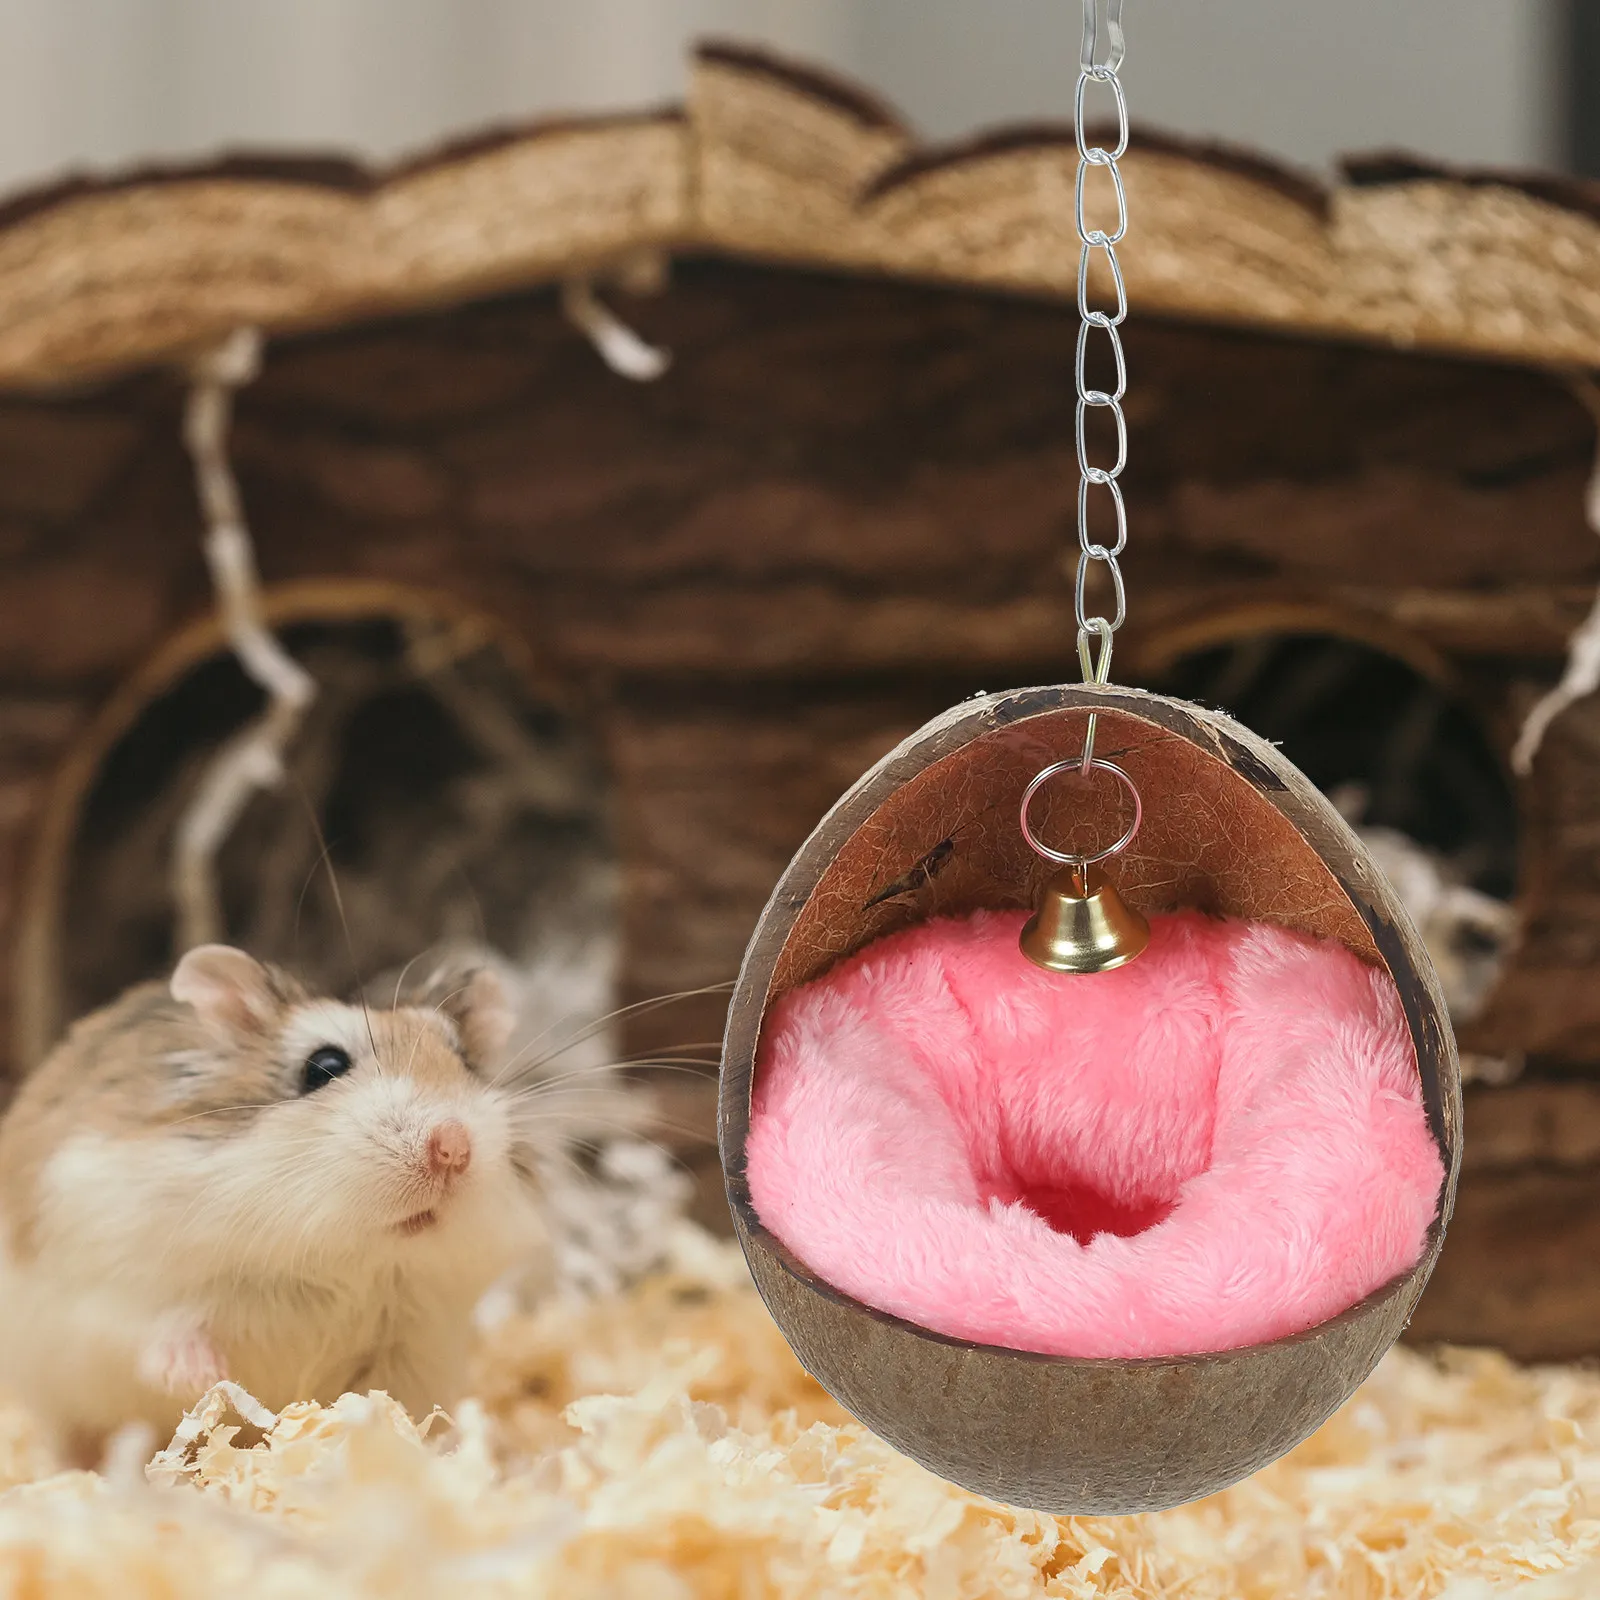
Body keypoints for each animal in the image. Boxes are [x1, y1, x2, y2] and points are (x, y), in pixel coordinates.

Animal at [0, 944, 551, 1462]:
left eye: (465, 1063)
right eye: (324, 1067)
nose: (453, 1148)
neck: (343, 1260)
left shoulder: (415, 1347)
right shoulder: (112, 1284)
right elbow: (158, 1331)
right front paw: (202, 1378)